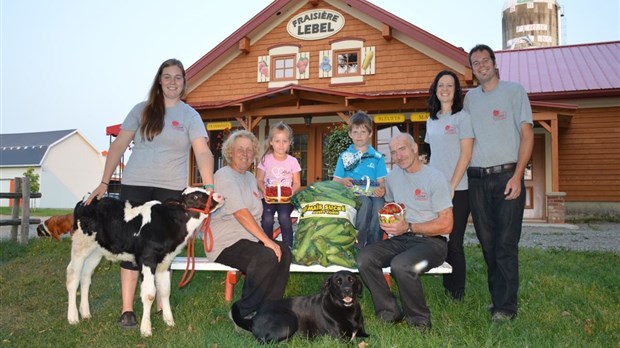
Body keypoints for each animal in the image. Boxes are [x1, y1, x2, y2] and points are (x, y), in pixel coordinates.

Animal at [65, 188, 224, 338]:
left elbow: (165, 290)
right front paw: (146, 329)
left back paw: (85, 313)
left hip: (96, 252)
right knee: (73, 276)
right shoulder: (148, 259)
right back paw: (73, 317)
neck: (168, 223)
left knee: (86, 277)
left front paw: (169, 321)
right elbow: (149, 294)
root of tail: (87, 199)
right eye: (195, 196)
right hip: (80, 246)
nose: (219, 196)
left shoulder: (166, 261)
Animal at [232, 270, 368, 342]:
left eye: (351, 280)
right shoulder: (340, 339)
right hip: (289, 321)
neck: (347, 310)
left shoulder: (363, 334)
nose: (347, 290)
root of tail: (254, 318)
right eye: (338, 282)